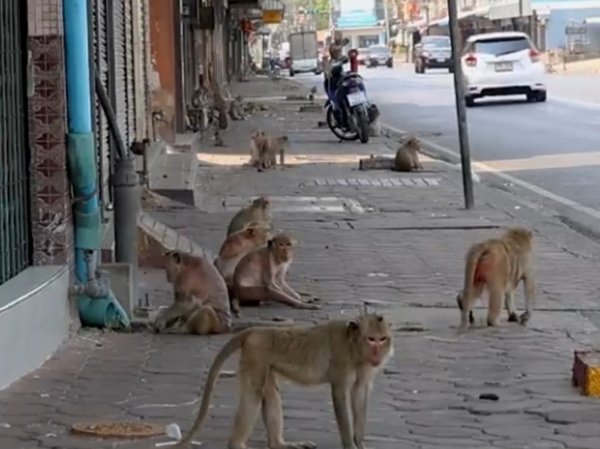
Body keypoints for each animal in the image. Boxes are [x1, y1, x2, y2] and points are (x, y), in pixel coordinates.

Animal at [171, 312, 394, 448]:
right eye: (371, 339)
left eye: (382, 339)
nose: (377, 354)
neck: (353, 346)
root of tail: (253, 331)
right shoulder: (342, 361)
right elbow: (340, 395)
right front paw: (349, 444)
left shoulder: (365, 368)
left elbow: (359, 394)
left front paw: (360, 441)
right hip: (255, 357)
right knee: (254, 394)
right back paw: (237, 444)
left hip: (264, 363)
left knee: (269, 393)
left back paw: (279, 444)